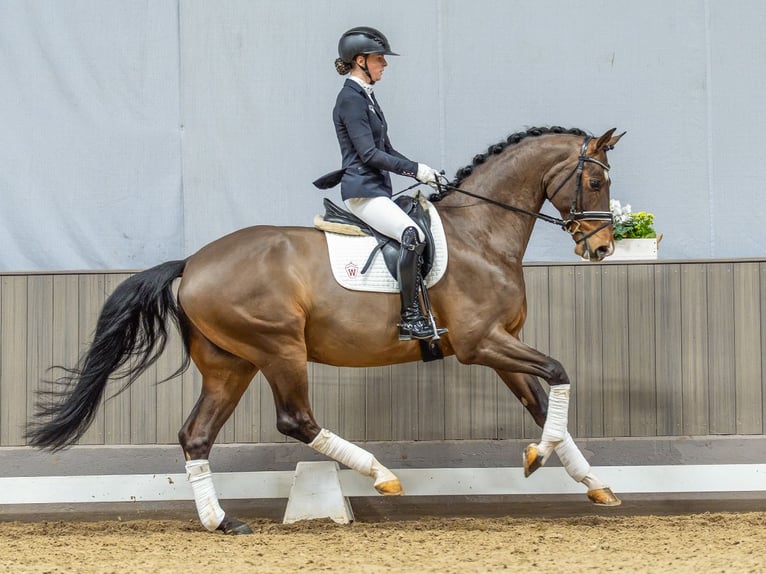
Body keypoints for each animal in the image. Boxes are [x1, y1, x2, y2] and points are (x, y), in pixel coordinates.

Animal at [27, 126, 625, 534]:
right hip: (279, 349)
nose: (601, 249)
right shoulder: (482, 344)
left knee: (196, 434)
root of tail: (192, 263)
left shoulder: (501, 344)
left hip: (230, 364)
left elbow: (543, 404)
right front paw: (540, 457)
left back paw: (222, 522)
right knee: (296, 420)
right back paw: (381, 475)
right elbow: (559, 372)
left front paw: (588, 481)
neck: (481, 234)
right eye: (595, 181)